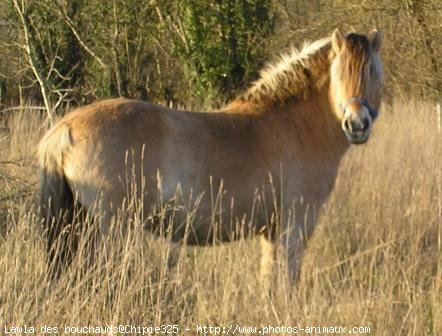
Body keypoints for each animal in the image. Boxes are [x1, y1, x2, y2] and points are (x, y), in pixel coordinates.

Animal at [38, 29, 384, 280]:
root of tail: (66, 128)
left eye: (374, 72)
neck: (296, 123)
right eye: (340, 73)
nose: (357, 124)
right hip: (111, 229)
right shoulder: (296, 224)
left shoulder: (271, 231)